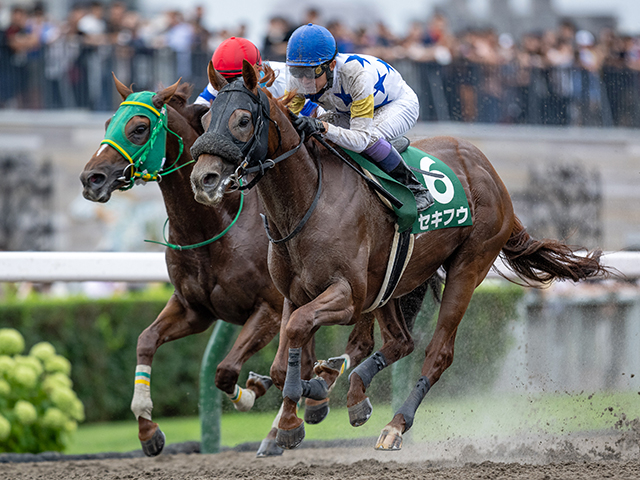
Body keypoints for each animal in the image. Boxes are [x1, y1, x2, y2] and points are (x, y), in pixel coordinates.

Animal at [80, 78, 380, 458]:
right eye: (108, 123)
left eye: (139, 128)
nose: (91, 178)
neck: (212, 225)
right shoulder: (194, 309)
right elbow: (145, 340)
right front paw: (148, 429)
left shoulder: (268, 309)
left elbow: (224, 370)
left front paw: (253, 393)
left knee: (357, 341)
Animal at [188, 62, 608, 452]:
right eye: (205, 118)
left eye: (243, 119)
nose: (203, 179)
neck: (307, 201)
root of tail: (489, 172)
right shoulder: (293, 295)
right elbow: (283, 362)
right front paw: (301, 407)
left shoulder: (347, 296)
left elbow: (298, 330)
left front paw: (301, 410)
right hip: (395, 280)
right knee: (401, 341)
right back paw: (356, 392)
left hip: (468, 266)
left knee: (438, 353)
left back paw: (394, 424)